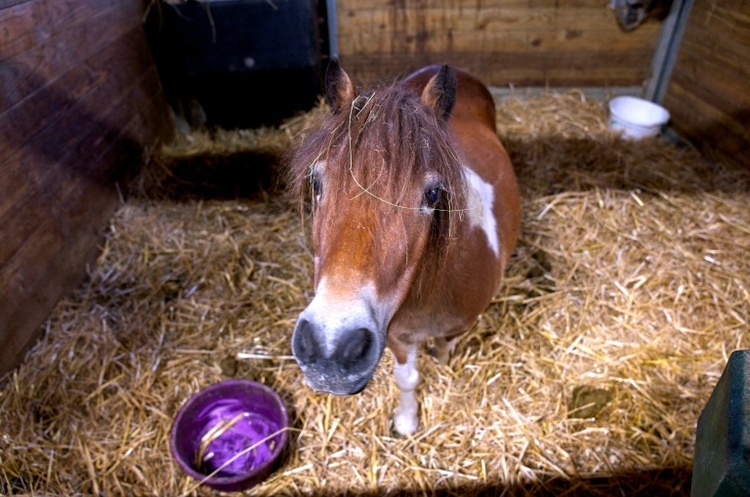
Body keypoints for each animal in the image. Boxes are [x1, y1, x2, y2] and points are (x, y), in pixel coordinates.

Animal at [286, 59, 520, 435]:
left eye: (433, 193)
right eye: (317, 183)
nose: (331, 347)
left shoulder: (457, 327)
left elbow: (443, 349)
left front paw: (442, 368)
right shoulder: (396, 336)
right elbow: (407, 379)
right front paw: (407, 421)